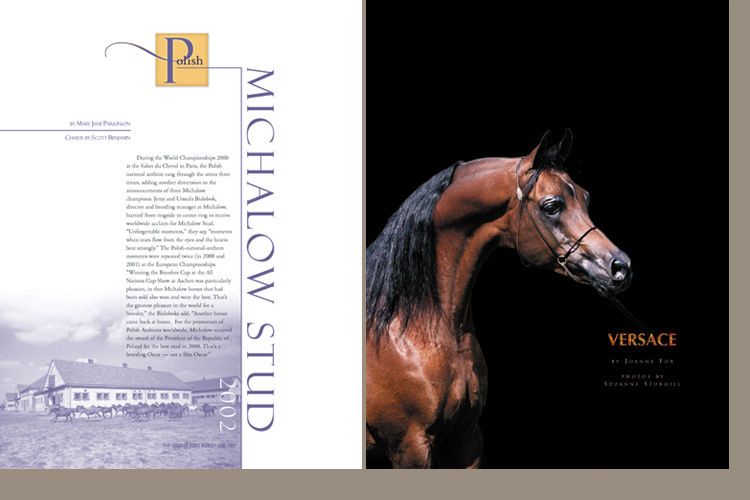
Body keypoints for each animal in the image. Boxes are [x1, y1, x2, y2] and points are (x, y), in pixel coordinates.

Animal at [365, 130, 633, 468]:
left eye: (585, 198)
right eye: (551, 206)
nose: (620, 267)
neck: (408, 329)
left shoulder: (467, 441)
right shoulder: (410, 446)